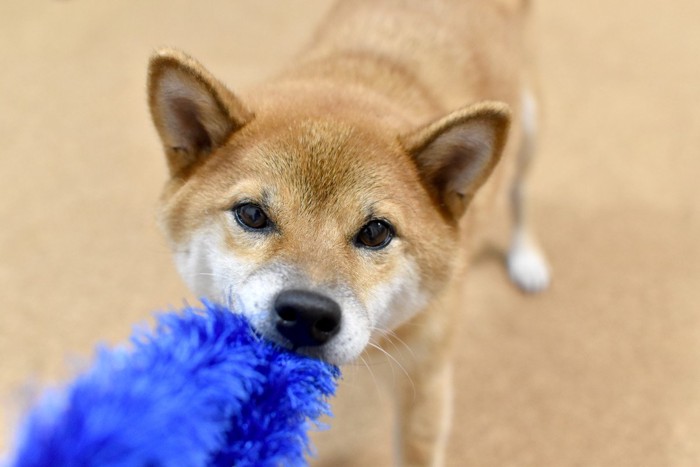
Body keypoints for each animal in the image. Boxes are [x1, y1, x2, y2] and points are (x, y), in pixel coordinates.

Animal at [148, 0, 548, 464]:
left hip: (528, 131)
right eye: (251, 214)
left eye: (375, 232)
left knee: (521, 194)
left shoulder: (425, 381)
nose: (307, 313)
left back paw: (526, 258)